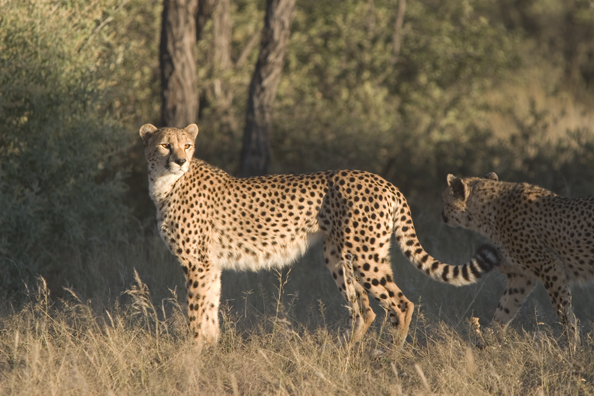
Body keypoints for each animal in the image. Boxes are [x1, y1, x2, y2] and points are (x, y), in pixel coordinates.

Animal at [139, 124, 500, 350]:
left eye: (187, 145)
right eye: (164, 144)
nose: (179, 160)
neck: (165, 184)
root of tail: (384, 181)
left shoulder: (196, 264)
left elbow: (196, 312)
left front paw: (191, 354)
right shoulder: (209, 265)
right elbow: (210, 310)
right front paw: (210, 350)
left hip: (365, 255)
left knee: (400, 304)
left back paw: (390, 356)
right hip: (339, 255)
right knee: (364, 310)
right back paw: (344, 354)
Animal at [440, 171, 592, 346]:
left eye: (444, 200)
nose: (441, 215)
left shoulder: (550, 266)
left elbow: (564, 311)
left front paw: (572, 346)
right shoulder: (522, 276)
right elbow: (504, 309)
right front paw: (487, 343)